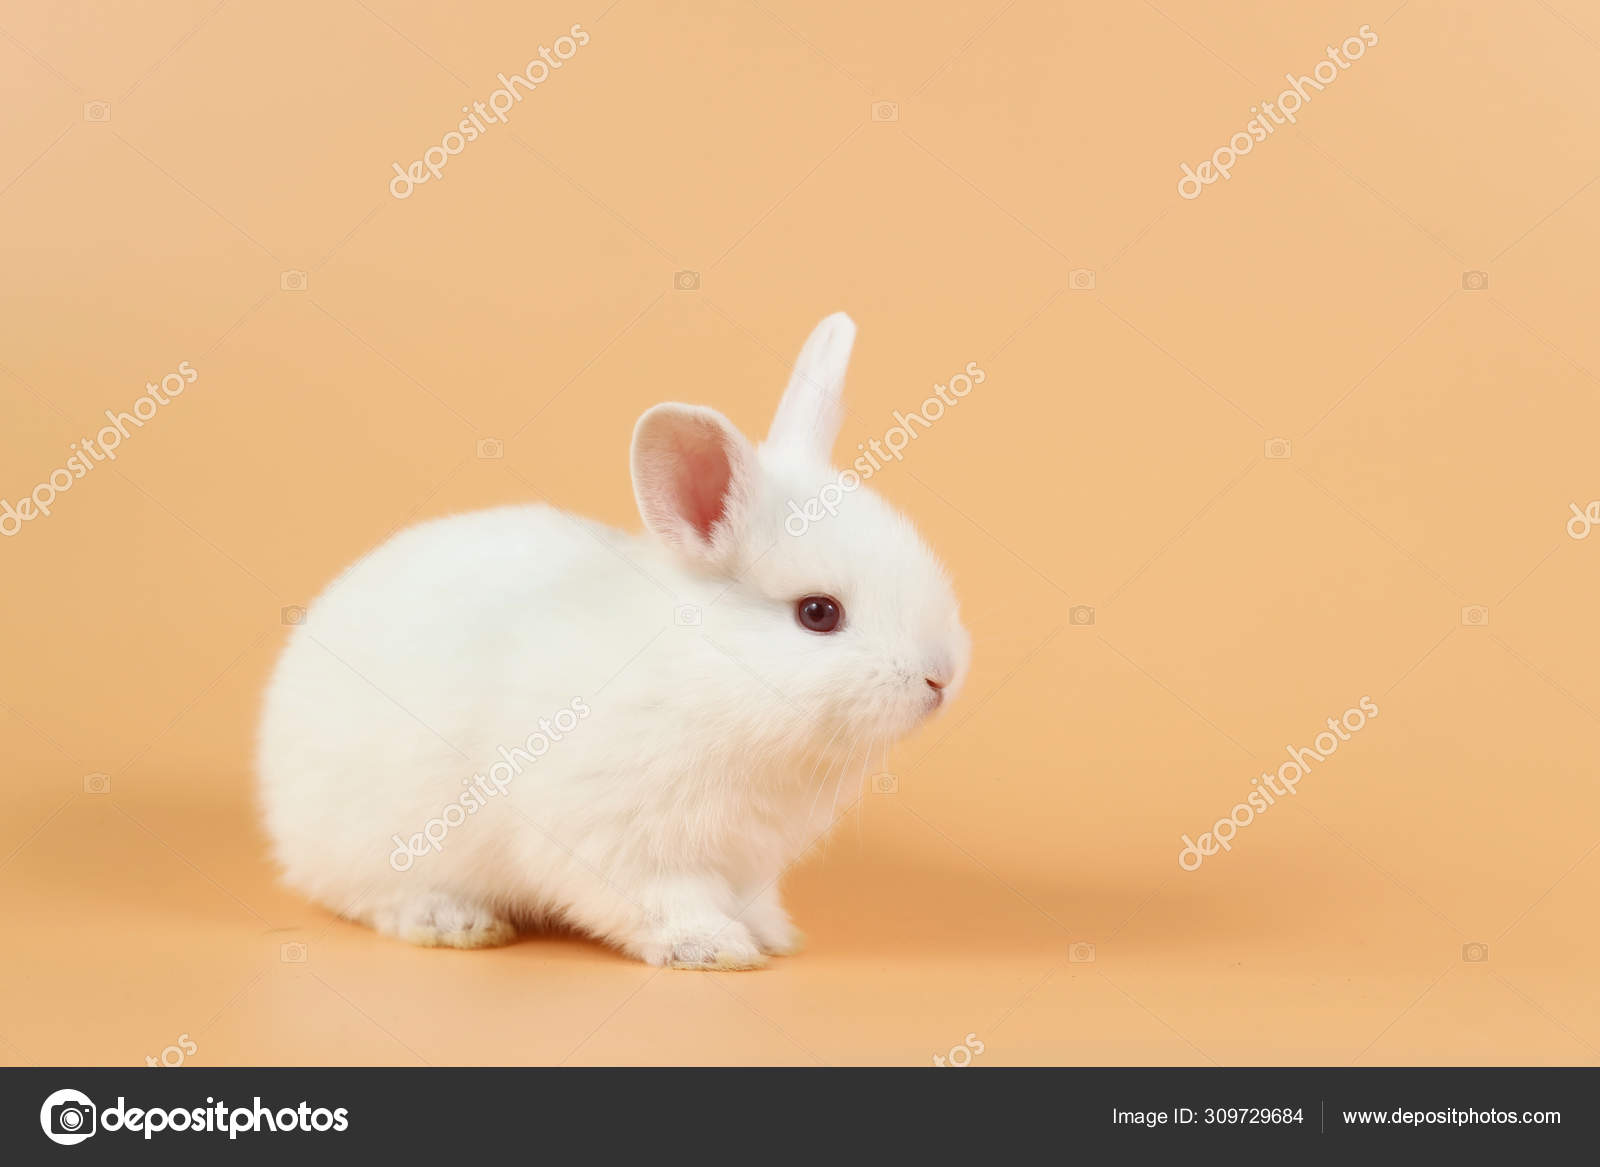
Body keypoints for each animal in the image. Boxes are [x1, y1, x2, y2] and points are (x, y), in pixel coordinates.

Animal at [256, 312, 970, 968]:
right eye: (819, 613)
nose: (939, 678)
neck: (712, 677)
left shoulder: (747, 861)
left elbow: (753, 899)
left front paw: (773, 936)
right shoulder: (620, 839)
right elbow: (665, 900)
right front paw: (711, 948)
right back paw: (456, 922)